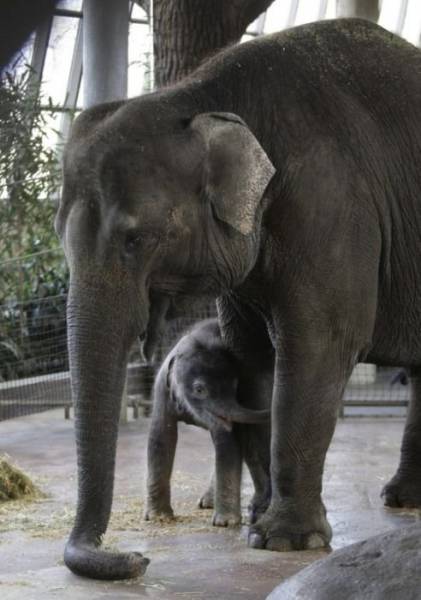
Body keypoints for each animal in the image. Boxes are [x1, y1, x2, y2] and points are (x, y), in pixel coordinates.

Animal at [144, 318, 270, 524]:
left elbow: (227, 441)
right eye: (199, 390)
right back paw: (208, 503)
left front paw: (225, 523)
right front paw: (158, 517)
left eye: (235, 386)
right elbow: (161, 437)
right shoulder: (163, 388)